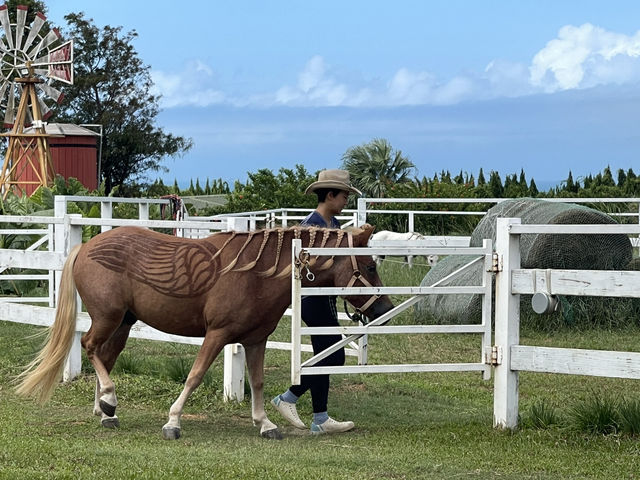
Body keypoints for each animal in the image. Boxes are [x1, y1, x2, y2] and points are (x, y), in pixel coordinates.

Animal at [15, 224, 392, 438]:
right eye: (369, 266)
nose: (384, 310)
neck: (256, 274)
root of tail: (85, 247)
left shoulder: (255, 340)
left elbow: (257, 382)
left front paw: (265, 424)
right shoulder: (218, 335)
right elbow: (194, 376)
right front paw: (173, 422)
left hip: (123, 323)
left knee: (105, 356)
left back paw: (107, 411)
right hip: (108, 318)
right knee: (90, 346)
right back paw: (109, 399)